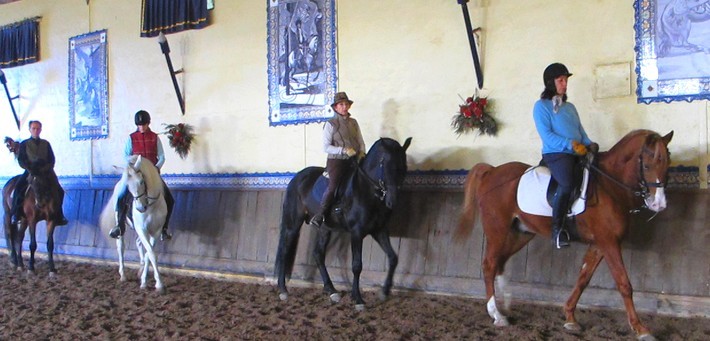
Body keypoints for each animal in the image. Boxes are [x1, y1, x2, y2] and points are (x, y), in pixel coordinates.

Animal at [99, 155, 168, 292]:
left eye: (141, 181)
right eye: (128, 186)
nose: (140, 208)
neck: (151, 206)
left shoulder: (156, 231)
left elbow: (148, 254)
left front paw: (144, 280)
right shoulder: (142, 230)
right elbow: (151, 254)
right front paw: (158, 284)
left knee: (138, 243)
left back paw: (140, 270)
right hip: (121, 226)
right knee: (121, 246)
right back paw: (123, 275)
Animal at [276, 135, 412, 308]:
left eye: (404, 165)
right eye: (385, 164)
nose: (392, 202)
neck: (366, 191)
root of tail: (297, 178)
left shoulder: (379, 230)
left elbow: (393, 258)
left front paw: (384, 292)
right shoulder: (357, 232)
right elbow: (357, 265)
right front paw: (358, 299)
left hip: (325, 228)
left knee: (318, 254)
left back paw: (331, 290)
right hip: (293, 225)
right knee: (285, 251)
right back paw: (283, 290)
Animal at [456, 129, 672, 338]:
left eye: (667, 164)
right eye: (647, 166)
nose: (659, 204)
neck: (609, 186)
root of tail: (491, 171)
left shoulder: (599, 244)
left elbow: (583, 278)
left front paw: (570, 318)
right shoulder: (608, 242)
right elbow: (624, 284)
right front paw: (641, 329)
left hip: (521, 234)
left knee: (500, 262)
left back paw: (506, 307)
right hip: (497, 230)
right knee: (489, 265)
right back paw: (497, 315)